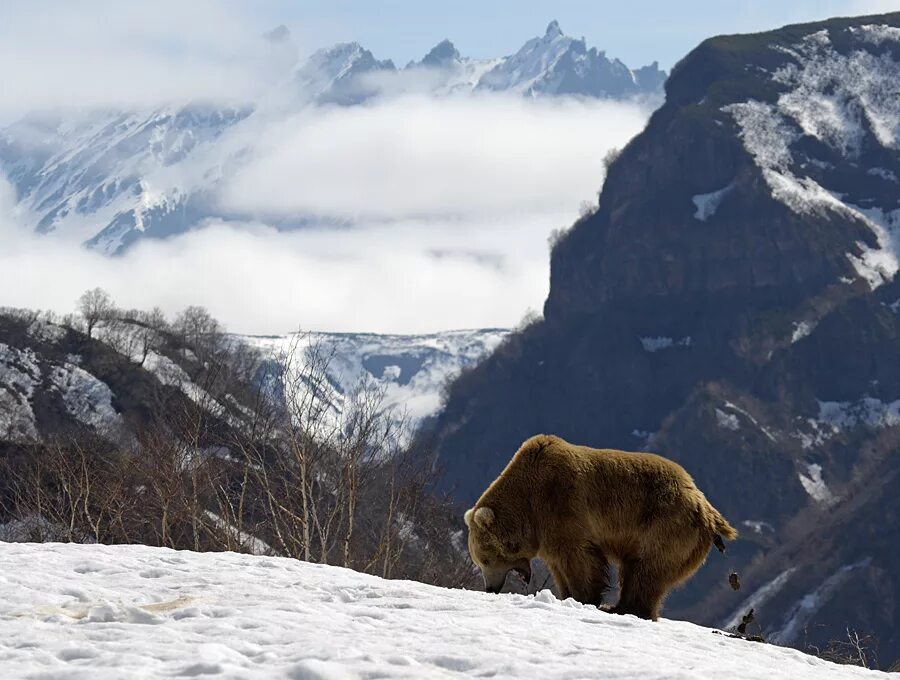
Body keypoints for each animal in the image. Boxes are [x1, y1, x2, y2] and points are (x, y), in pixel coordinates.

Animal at [464, 432, 740, 620]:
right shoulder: (546, 530)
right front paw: (565, 594)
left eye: (485, 559)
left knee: (647, 568)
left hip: (664, 523)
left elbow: (579, 559)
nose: (490, 588)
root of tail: (704, 504)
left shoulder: (561, 505)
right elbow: (559, 564)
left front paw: (583, 597)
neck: (528, 506)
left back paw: (626, 608)